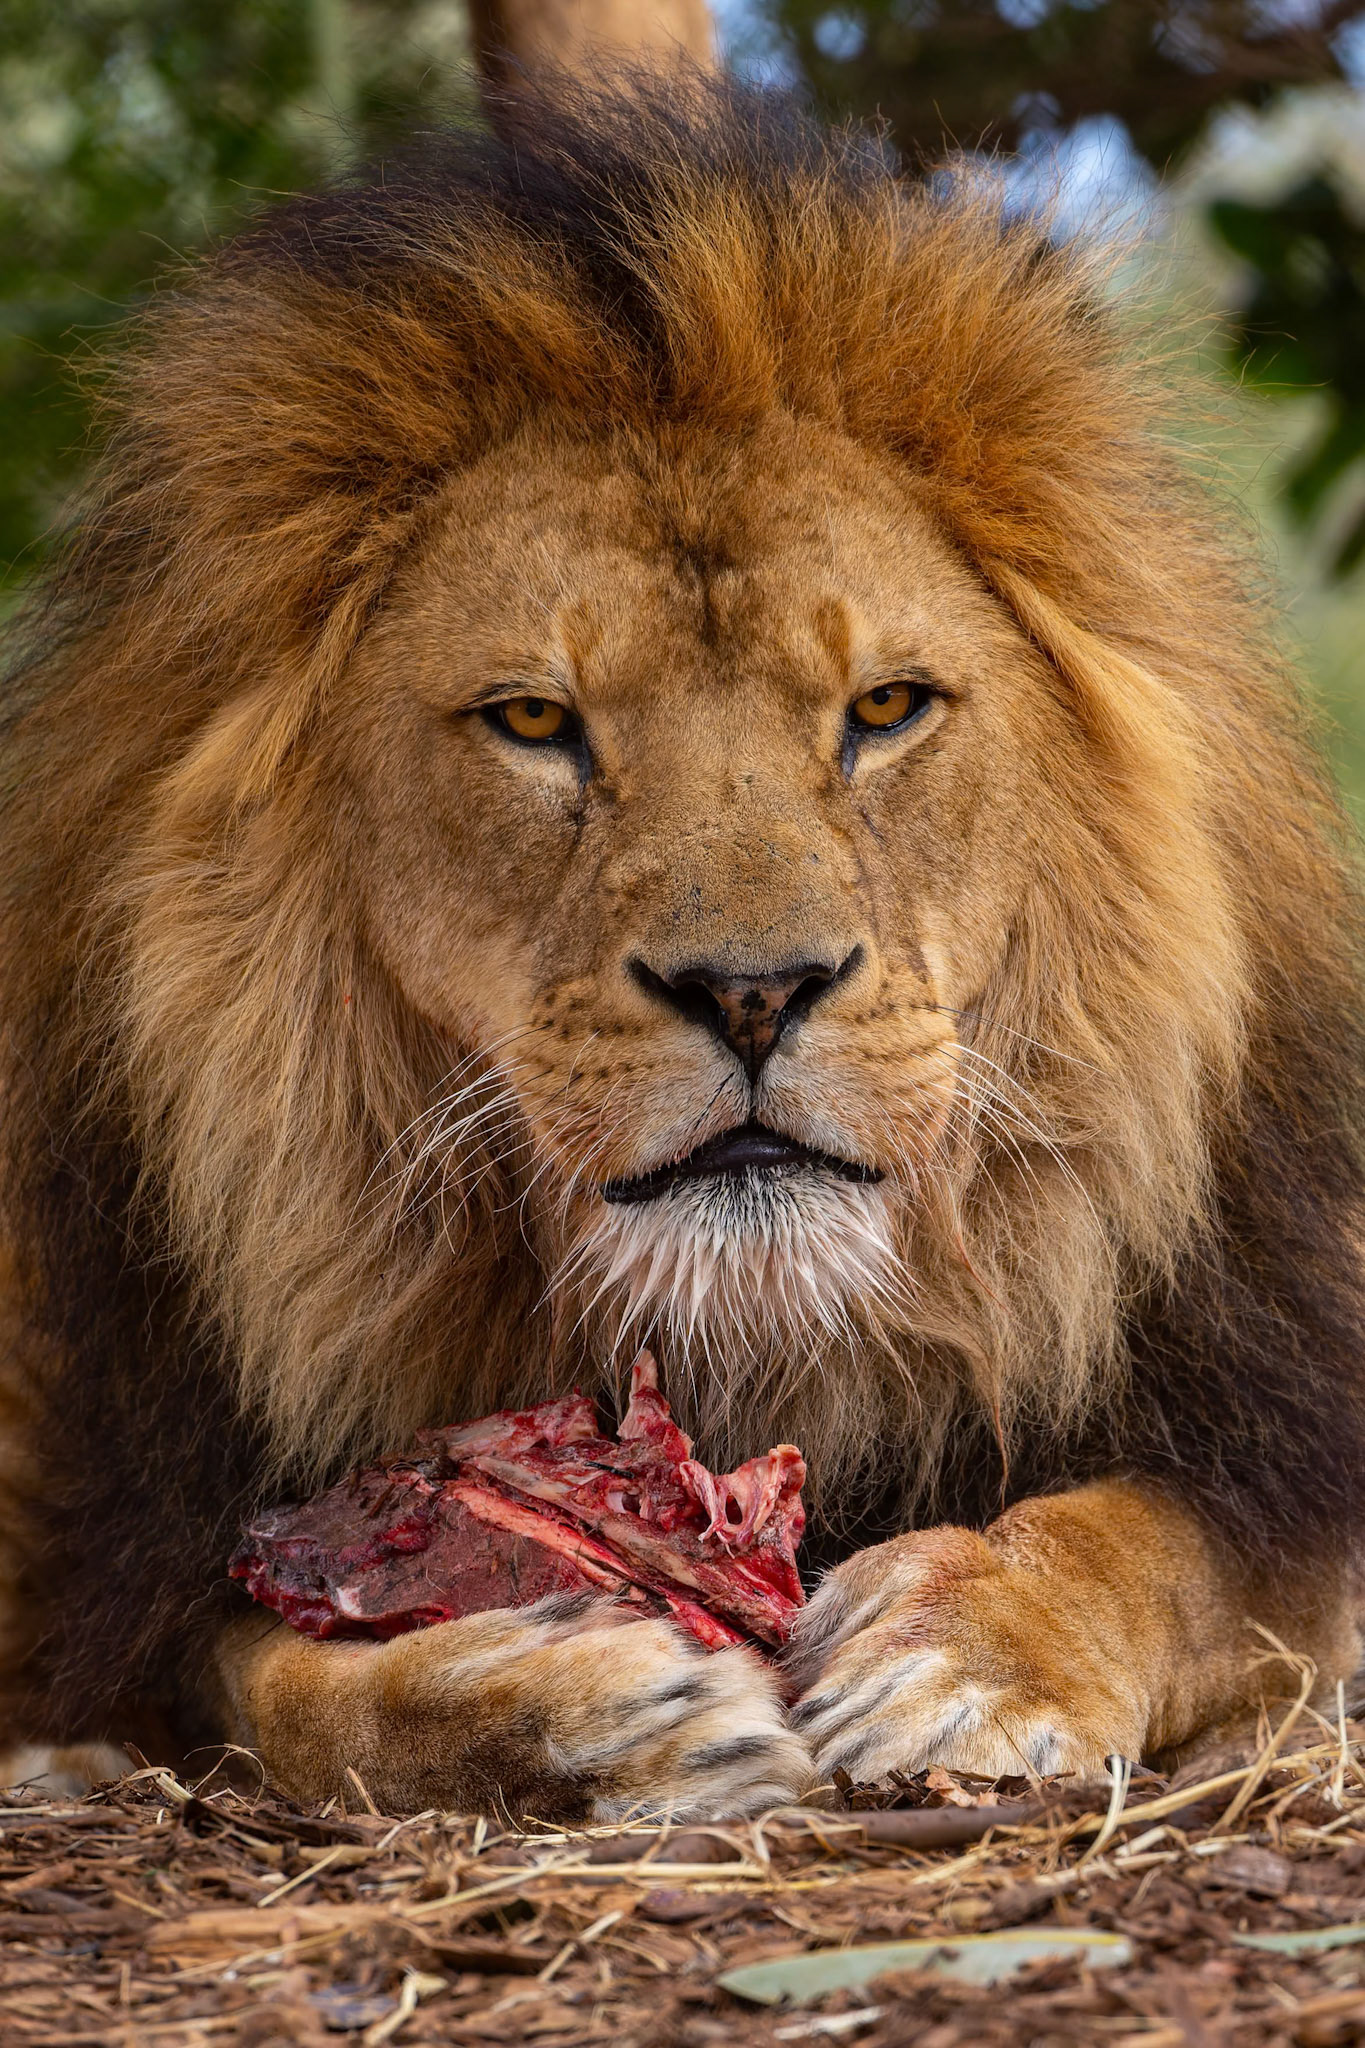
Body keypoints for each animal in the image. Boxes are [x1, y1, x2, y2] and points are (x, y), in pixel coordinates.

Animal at [1, 75, 1363, 1819]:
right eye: (534, 723)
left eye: (885, 707)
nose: (754, 993)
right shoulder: (177, 1543)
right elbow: (290, 1686)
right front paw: (569, 1702)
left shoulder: (1285, 1437)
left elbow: (1163, 1547)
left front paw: (966, 1653)